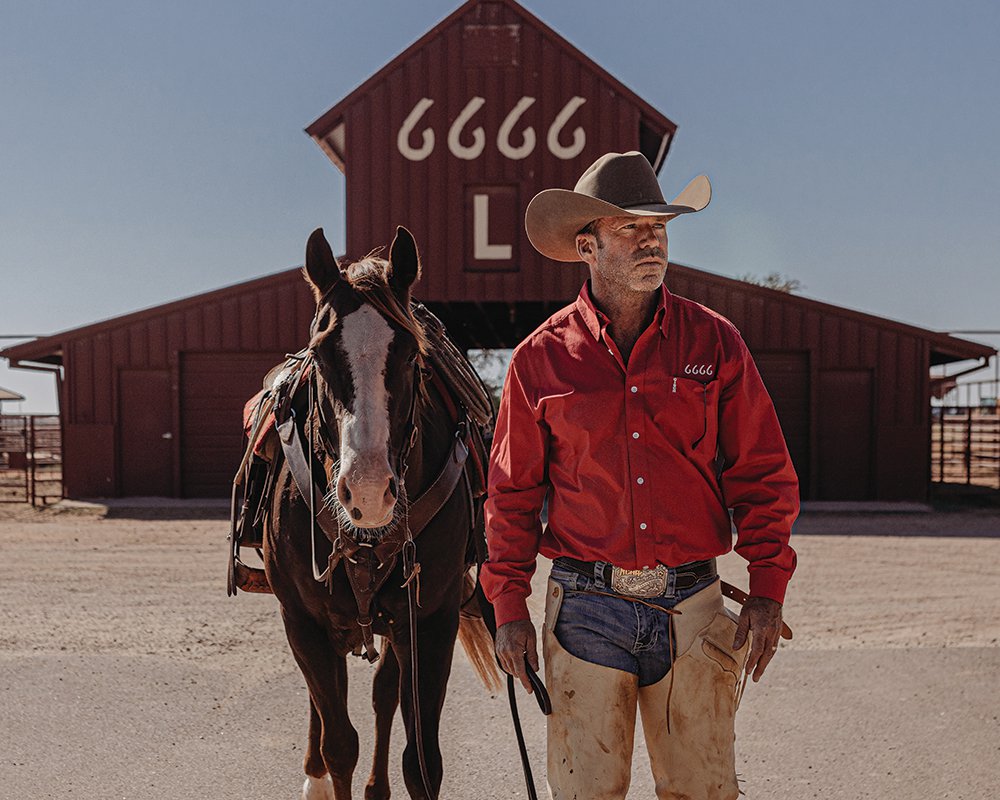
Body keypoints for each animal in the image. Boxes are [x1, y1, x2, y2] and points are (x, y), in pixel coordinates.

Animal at [264, 227, 500, 800]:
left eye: (411, 355)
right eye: (321, 352)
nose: (368, 492)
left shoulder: (429, 620)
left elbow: (422, 761)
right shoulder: (301, 619)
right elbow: (338, 744)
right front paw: (325, 775)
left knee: (382, 694)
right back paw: (314, 778)